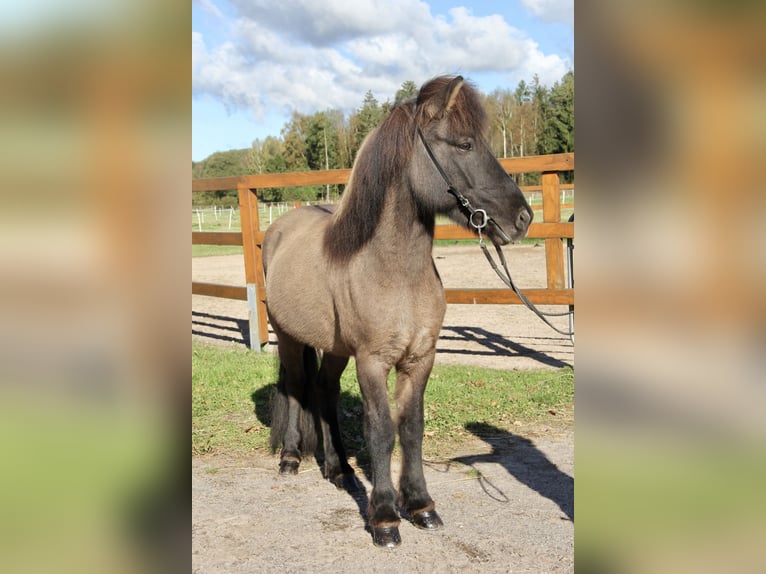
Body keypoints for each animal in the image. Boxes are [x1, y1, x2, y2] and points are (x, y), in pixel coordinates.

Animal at [260, 76, 532, 548]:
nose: (523, 218)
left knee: (324, 392)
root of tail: (280, 227)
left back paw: (339, 470)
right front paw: (385, 517)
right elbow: (381, 431)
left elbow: (412, 428)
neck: (394, 271)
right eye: (463, 144)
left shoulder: (420, 359)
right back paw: (291, 459)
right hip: (289, 335)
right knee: (294, 388)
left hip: (334, 349)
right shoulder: (372, 362)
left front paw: (421, 505)